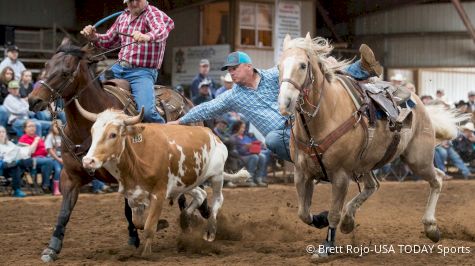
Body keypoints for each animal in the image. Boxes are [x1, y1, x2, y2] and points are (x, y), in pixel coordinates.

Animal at [28, 44, 206, 260]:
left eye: (65, 73)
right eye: (46, 66)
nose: (34, 100)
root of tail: (186, 101)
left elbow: (134, 214)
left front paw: (151, 228)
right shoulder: (70, 176)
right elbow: (64, 212)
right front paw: (52, 248)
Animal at [278, 34, 466, 258]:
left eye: (303, 65)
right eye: (279, 66)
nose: (285, 103)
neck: (324, 116)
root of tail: (419, 102)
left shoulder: (340, 175)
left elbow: (334, 213)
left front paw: (326, 247)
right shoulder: (301, 173)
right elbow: (304, 213)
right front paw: (321, 218)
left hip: (418, 159)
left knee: (437, 178)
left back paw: (431, 227)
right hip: (366, 163)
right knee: (372, 186)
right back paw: (349, 221)